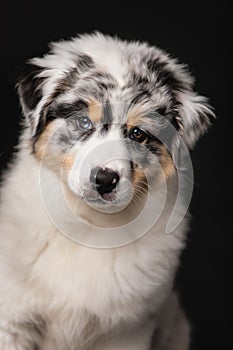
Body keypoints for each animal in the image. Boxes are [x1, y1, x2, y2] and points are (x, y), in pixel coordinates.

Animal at [0, 33, 214, 350]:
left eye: (138, 134)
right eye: (83, 121)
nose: (104, 179)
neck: (90, 225)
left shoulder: (128, 331)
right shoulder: (13, 318)